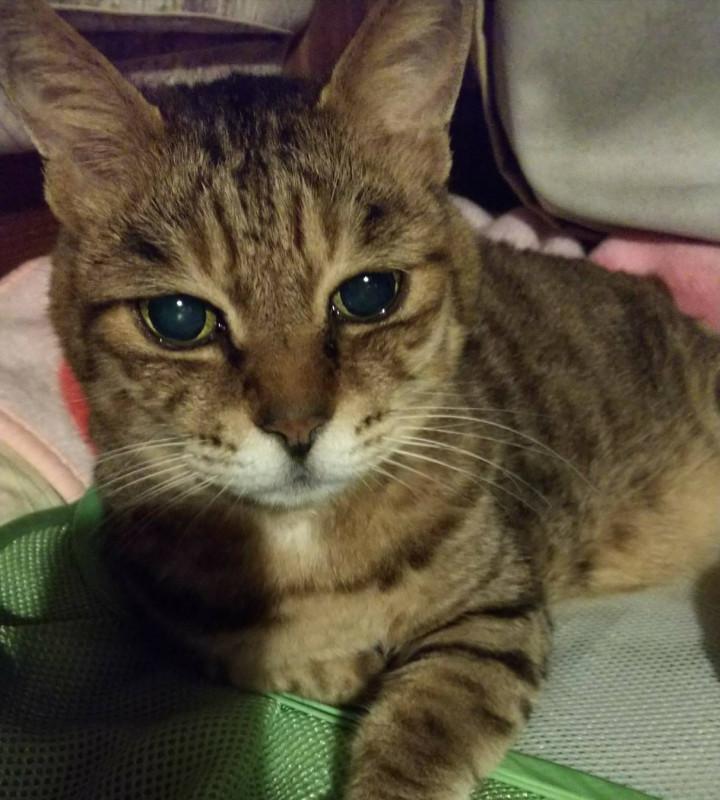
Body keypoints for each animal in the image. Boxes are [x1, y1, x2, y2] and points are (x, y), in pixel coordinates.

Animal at [2, 1, 720, 798]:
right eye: (179, 318)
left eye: (370, 294)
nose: (297, 427)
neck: (301, 543)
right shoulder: (176, 622)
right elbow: (271, 660)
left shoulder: (494, 608)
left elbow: (428, 718)